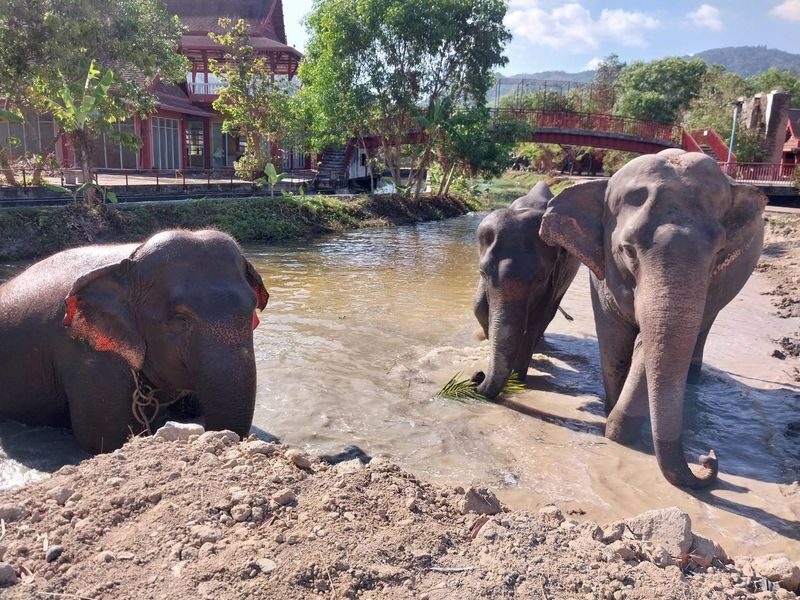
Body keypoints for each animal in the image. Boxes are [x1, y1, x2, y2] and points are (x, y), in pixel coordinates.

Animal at [472, 182, 581, 398]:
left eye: (540, 279)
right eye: (482, 272)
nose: (478, 376)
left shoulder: (556, 273)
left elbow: (536, 320)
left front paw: (517, 380)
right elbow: (479, 308)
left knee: (548, 316)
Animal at [540, 150, 766, 488]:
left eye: (719, 252)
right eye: (628, 251)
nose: (708, 457)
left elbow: (648, 345)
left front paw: (617, 426)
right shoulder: (602, 271)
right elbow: (613, 336)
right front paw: (610, 410)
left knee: (703, 328)